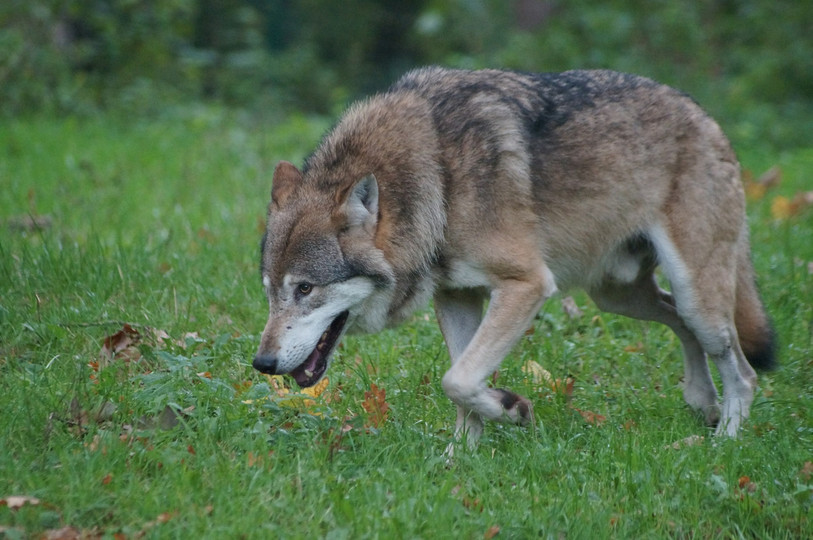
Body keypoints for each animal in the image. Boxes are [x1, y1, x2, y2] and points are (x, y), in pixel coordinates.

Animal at [253, 67, 775, 446]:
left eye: (305, 288)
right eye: (270, 292)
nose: (261, 363)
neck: (438, 181)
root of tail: (705, 116)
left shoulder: (527, 284)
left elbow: (457, 380)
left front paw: (511, 409)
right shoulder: (457, 297)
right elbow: (460, 384)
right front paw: (459, 459)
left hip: (694, 294)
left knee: (744, 373)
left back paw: (724, 443)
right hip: (619, 297)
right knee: (680, 324)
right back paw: (702, 402)